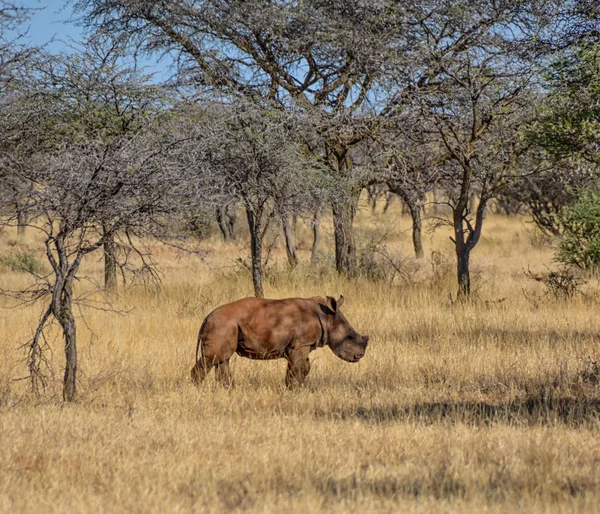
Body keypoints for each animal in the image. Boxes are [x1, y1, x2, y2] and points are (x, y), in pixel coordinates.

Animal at [192, 294, 370, 386]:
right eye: (350, 337)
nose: (359, 356)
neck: (326, 316)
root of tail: (206, 318)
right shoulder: (301, 345)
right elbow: (297, 367)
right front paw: (292, 389)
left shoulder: (302, 344)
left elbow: (304, 366)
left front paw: (297, 386)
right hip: (222, 325)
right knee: (213, 358)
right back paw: (197, 389)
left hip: (225, 326)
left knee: (222, 359)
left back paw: (228, 390)